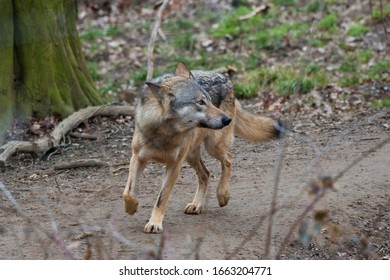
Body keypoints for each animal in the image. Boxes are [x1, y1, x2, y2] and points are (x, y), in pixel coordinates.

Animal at [122, 62, 284, 233]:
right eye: (200, 102)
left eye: (209, 101)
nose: (227, 119)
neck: (164, 133)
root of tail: (224, 77)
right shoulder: (137, 158)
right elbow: (128, 191)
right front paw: (132, 207)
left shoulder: (174, 166)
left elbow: (162, 198)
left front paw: (154, 223)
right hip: (191, 156)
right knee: (206, 174)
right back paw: (196, 205)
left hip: (212, 147)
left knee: (228, 160)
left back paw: (222, 195)